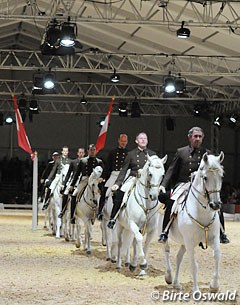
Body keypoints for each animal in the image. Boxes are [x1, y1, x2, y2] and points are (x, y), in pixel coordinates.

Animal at [162, 152, 224, 292]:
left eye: (221, 177)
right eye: (205, 178)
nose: (215, 205)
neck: (202, 213)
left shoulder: (214, 238)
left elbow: (217, 256)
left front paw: (214, 285)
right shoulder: (190, 243)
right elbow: (193, 265)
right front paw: (196, 291)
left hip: (184, 242)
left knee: (178, 257)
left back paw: (176, 283)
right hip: (166, 234)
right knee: (167, 250)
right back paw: (168, 276)